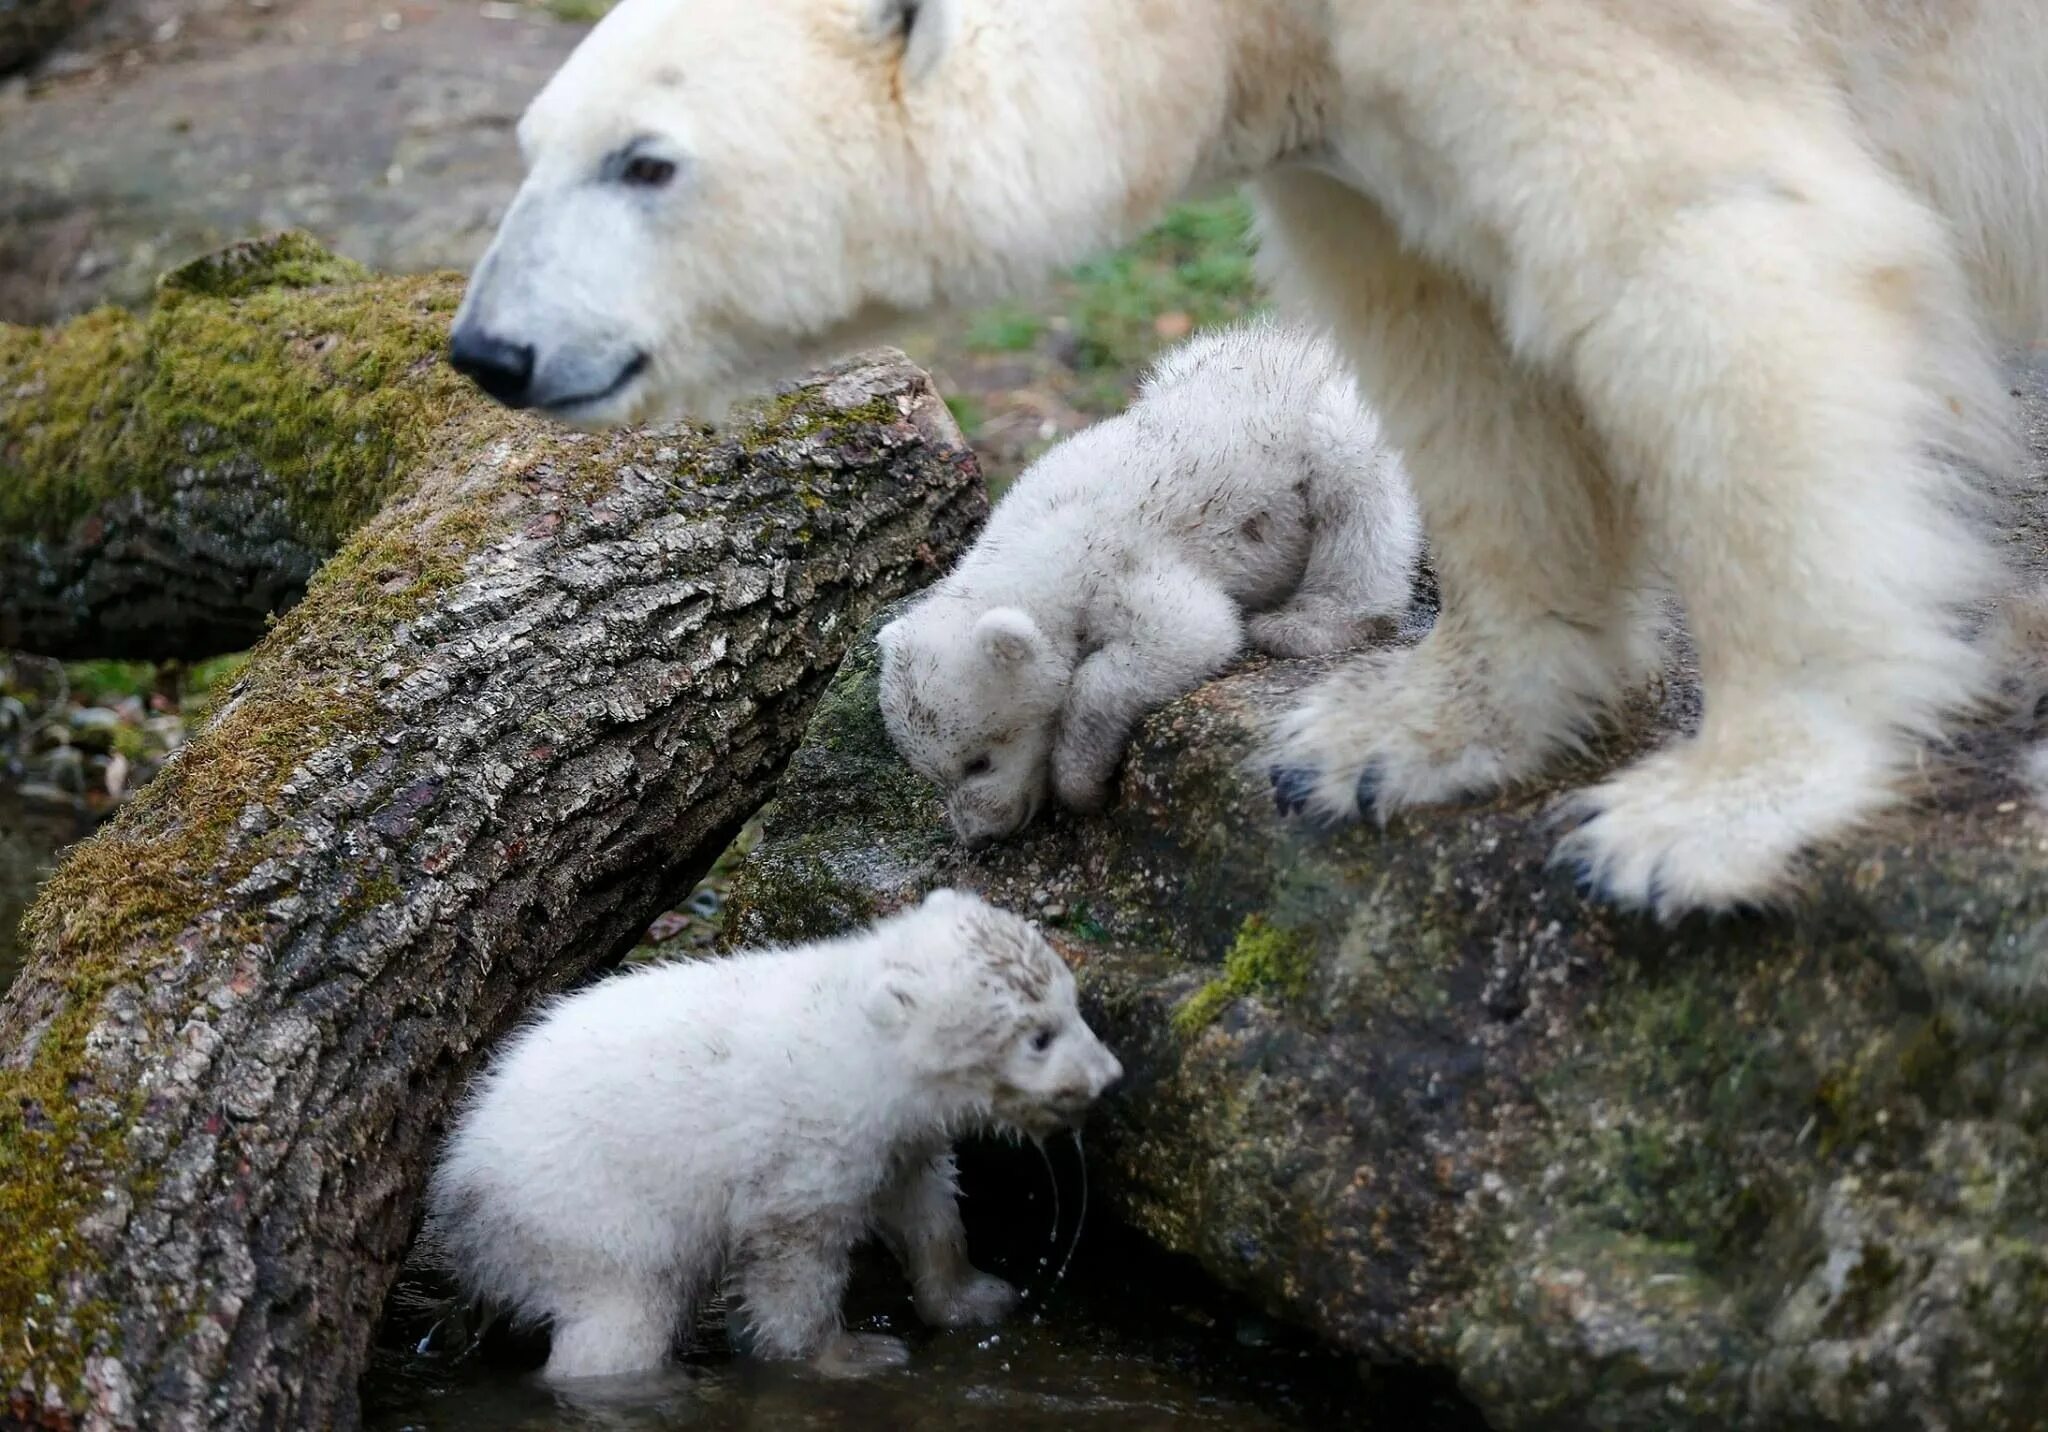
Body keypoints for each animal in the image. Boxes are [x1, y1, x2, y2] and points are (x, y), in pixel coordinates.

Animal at [448, 0, 2048, 917]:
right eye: (527, 144)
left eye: (646, 160)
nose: (489, 351)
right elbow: (1447, 335)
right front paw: (1400, 741)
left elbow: (1718, 263)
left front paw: (1703, 814)